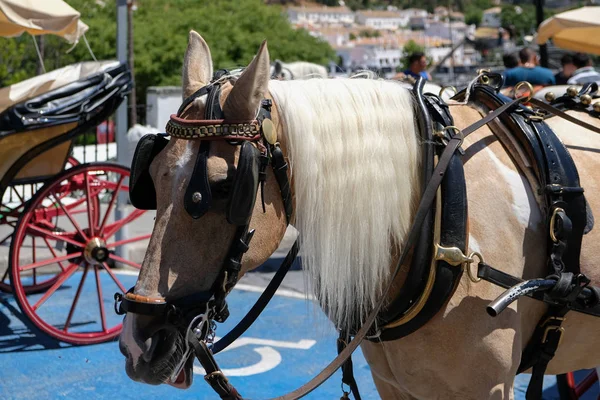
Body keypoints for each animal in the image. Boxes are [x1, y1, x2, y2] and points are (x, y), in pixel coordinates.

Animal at [116, 30, 600, 396]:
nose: (138, 346)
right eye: (151, 177)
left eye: (219, 188)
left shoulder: (486, 387)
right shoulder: (397, 384)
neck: (438, 213)